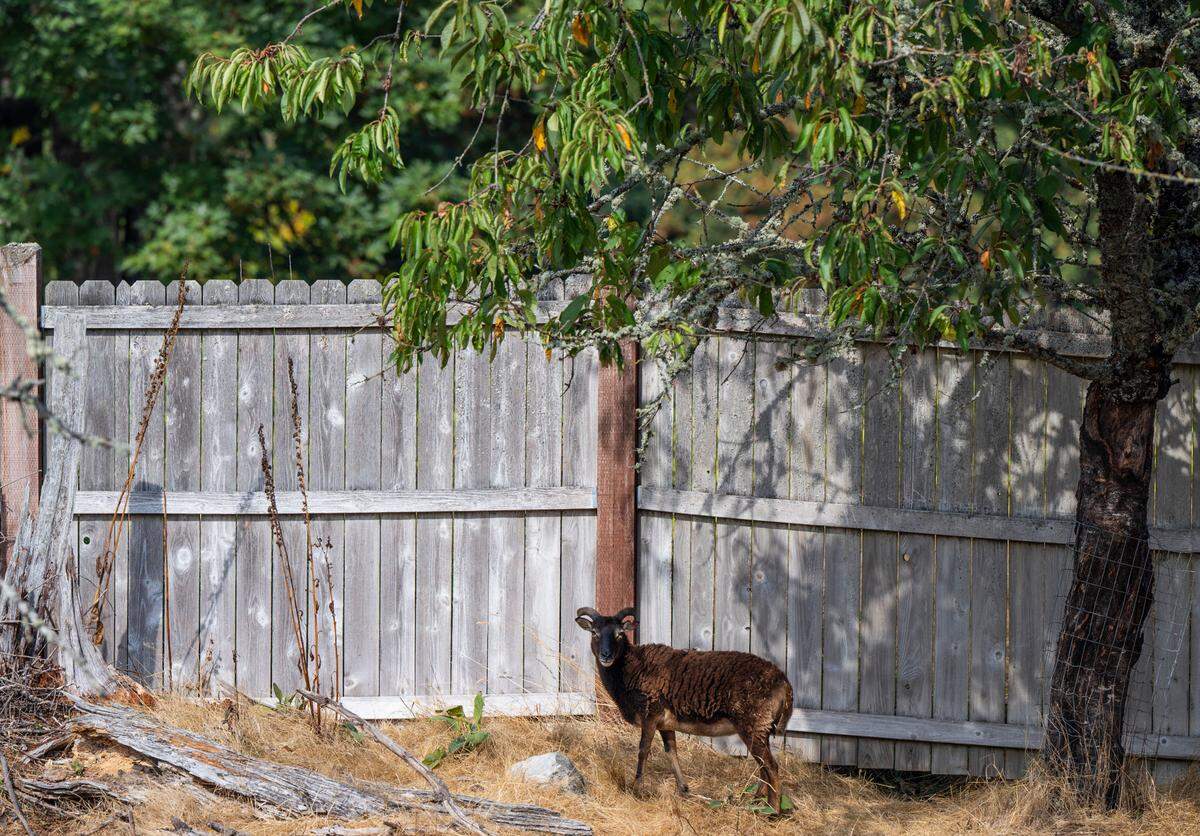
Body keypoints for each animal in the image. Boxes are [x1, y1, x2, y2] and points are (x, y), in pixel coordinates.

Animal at [575, 606, 794, 810]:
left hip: (753, 724)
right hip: (762, 727)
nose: (606, 656)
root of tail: (784, 682)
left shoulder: (650, 714)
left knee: (770, 766)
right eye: (594, 633)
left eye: (620, 634)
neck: (631, 668)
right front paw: (684, 790)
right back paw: (757, 801)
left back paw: (772, 810)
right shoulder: (665, 723)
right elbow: (671, 751)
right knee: (763, 766)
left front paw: (636, 789)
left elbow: (643, 750)